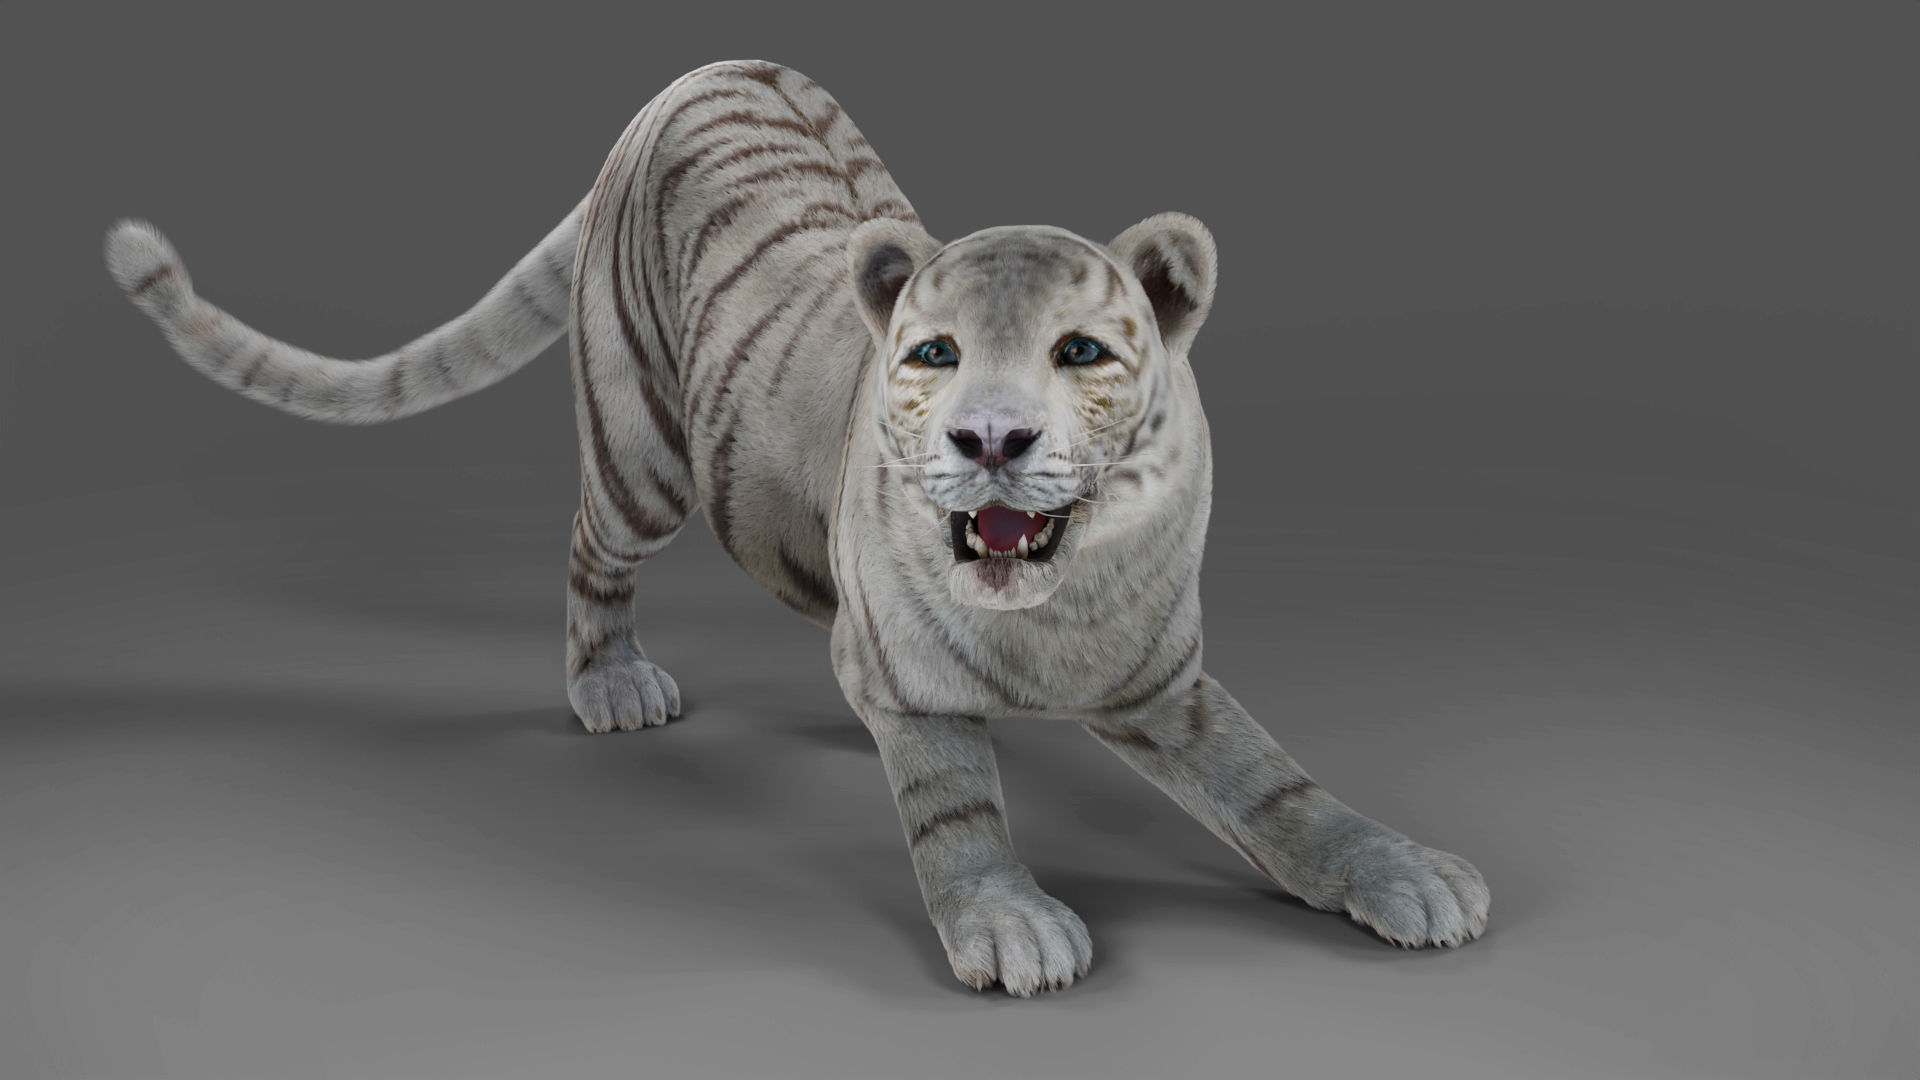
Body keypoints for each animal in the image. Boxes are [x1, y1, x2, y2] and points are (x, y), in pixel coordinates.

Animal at [103, 59, 1489, 996]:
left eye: (1081, 352)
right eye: (934, 354)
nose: (990, 441)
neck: (1052, 613)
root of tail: (686, 77)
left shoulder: (1164, 680)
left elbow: (1279, 787)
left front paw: (1412, 874)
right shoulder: (921, 689)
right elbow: (954, 806)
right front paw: (1011, 925)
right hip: (643, 455)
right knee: (590, 549)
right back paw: (611, 685)